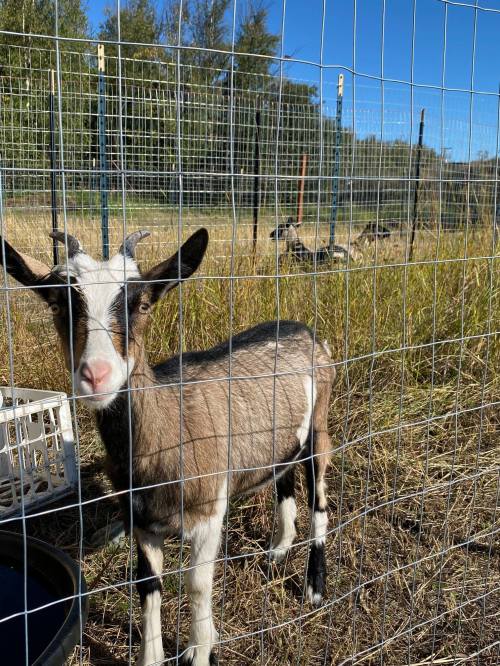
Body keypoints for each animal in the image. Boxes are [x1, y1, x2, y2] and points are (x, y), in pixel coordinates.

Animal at [0, 229, 334, 666]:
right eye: (58, 303)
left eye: (142, 304)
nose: (96, 375)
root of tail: (307, 332)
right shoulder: (142, 521)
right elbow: (148, 587)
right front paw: (152, 656)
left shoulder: (209, 512)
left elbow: (197, 585)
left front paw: (199, 650)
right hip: (282, 442)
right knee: (283, 479)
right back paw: (279, 548)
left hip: (319, 428)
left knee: (320, 501)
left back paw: (314, 585)